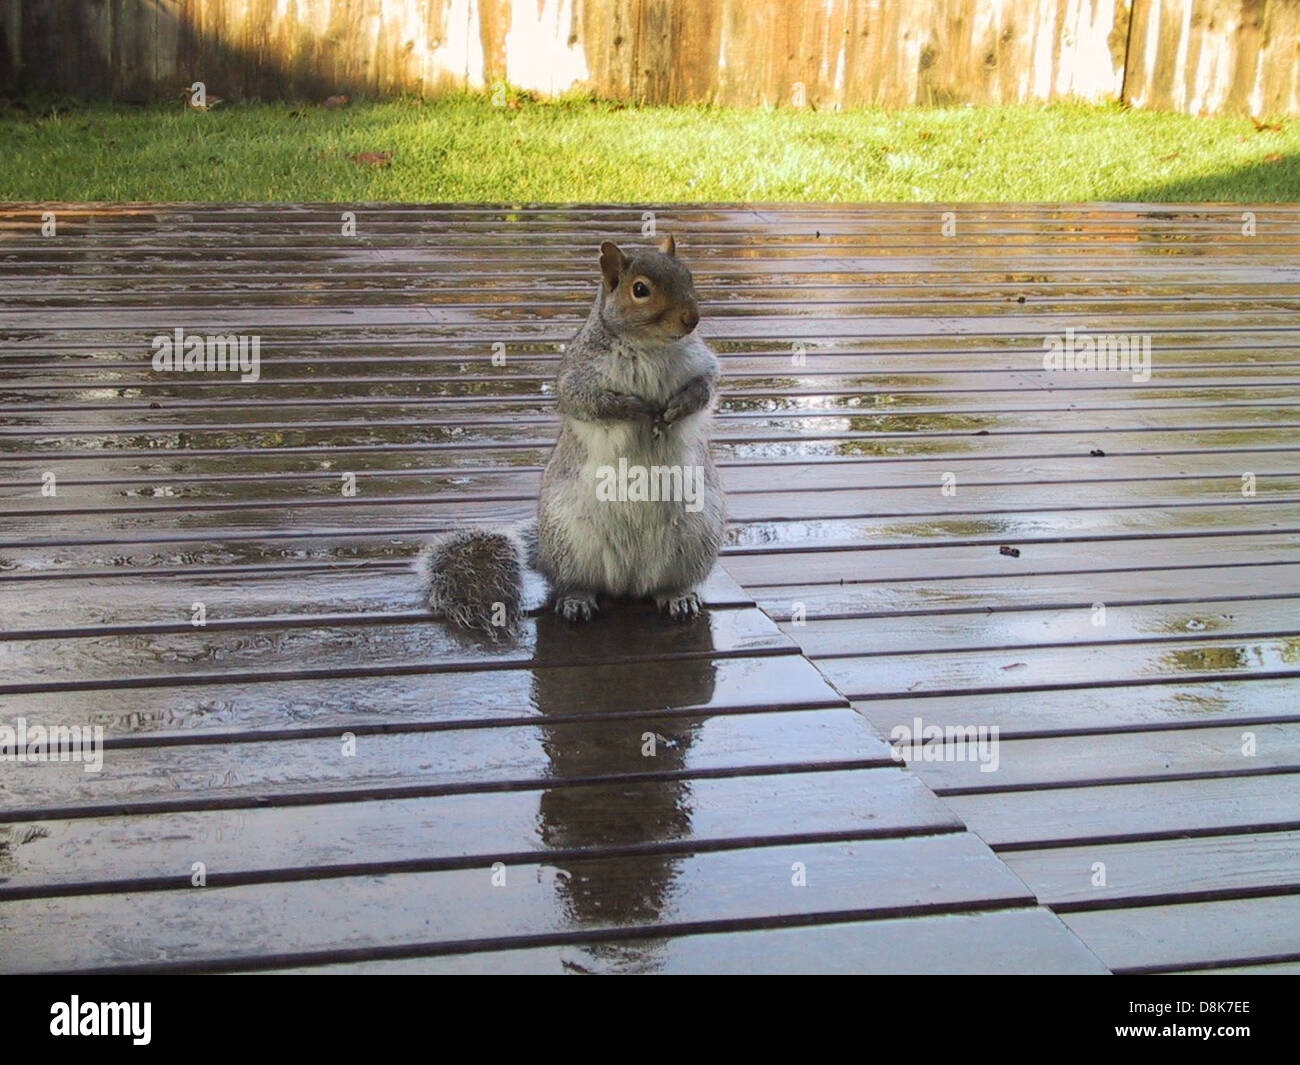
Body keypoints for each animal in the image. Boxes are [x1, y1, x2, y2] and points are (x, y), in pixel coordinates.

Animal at [419, 234, 725, 634]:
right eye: (640, 289)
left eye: (688, 275)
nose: (692, 320)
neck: (650, 346)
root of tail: (629, 583)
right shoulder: (577, 376)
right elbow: (587, 401)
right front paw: (632, 408)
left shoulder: (701, 364)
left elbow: (704, 388)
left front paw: (677, 407)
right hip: (571, 542)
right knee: (575, 582)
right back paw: (576, 599)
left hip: (696, 537)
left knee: (666, 584)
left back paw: (677, 595)